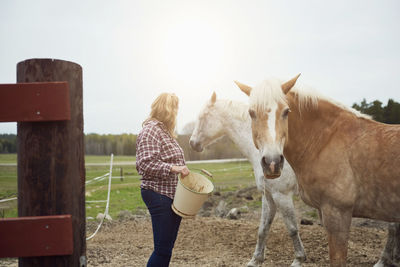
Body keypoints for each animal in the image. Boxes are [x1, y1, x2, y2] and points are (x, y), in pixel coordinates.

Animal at [190, 92, 306, 267]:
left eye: (203, 116)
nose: (192, 143)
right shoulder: (268, 195)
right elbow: (263, 229)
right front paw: (255, 260)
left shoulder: (282, 195)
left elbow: (292, 228)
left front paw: (299, 259)